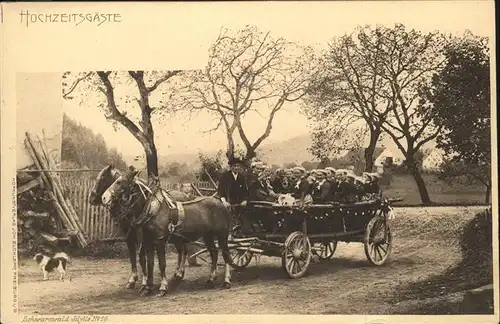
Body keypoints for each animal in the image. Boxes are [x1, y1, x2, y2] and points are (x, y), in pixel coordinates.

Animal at [101, 167, 234, 296]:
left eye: (119, 182)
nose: (104, 197)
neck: (152, 210)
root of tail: (222, 202)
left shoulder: (159, 241)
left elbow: (162, 264)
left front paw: (163, 288)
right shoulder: (148, 242)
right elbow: (150, 263)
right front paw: (148, 288)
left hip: (222, 235)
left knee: (226, 255)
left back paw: (227, 281)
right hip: (208, 236)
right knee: (214, 253)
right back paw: (210, 280)